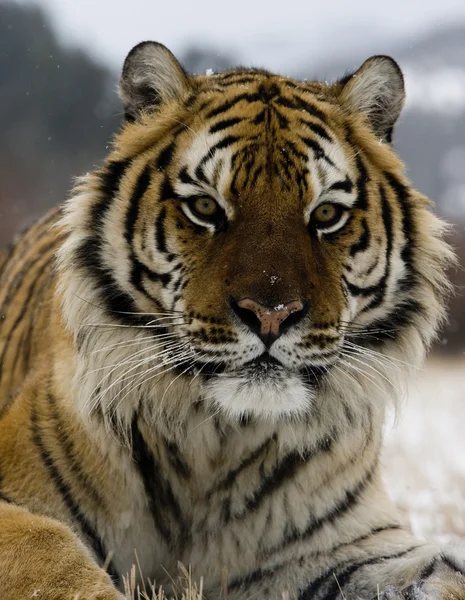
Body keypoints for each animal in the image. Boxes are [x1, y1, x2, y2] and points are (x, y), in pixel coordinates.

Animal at [0, 42, 464, 600]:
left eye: (326, 214)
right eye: (205, 206)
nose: (271, 314)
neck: (219, 445)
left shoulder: (357, 543)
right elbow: (54, 560)